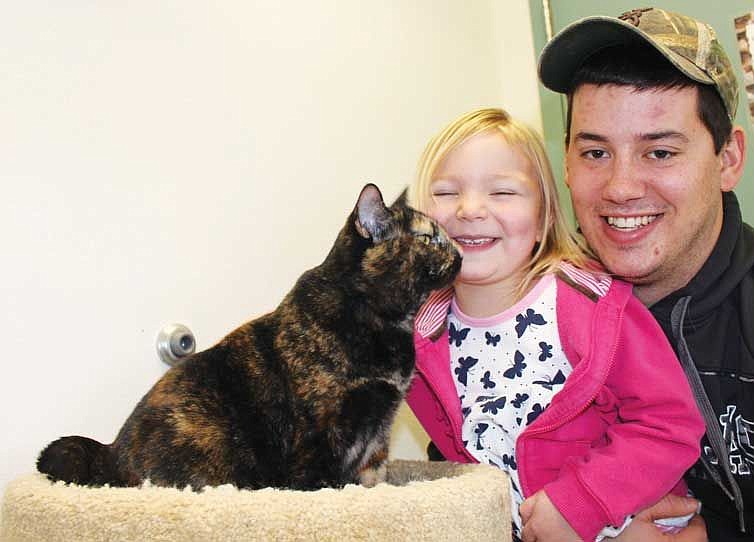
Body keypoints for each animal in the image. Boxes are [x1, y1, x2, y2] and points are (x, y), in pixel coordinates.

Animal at [36, 185, 458, 496]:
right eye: (428, 238)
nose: (458, 251)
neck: (384, 322)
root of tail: (110, 453)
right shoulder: (323, 425)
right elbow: (319, 477)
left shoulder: (379, 428)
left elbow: (374, 476)